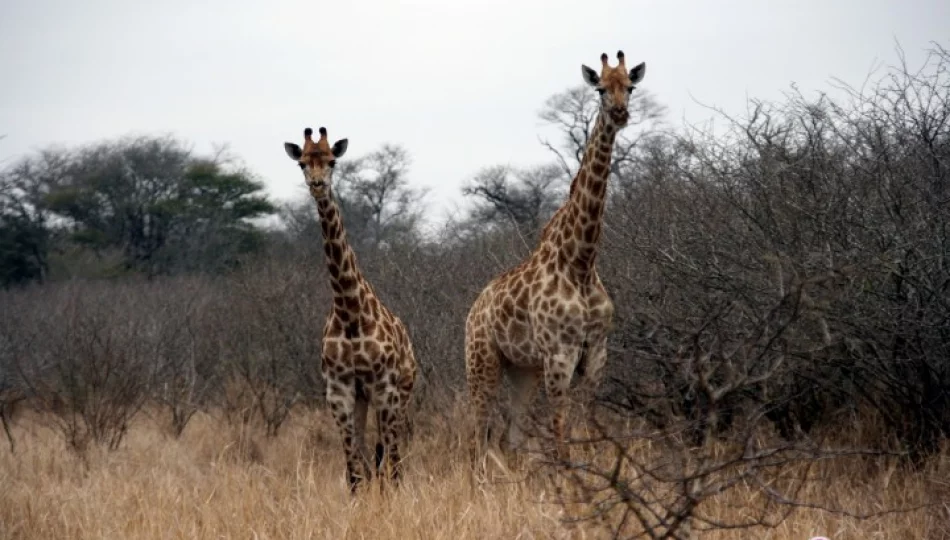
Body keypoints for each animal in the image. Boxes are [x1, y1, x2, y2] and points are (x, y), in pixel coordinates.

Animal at [282, 127, 416, 494]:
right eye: (302, 163)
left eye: (332, 161)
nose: (317, 185)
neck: (350, 311)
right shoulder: (340, 391)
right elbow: (355, 471)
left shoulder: (383, 386)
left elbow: (385, 465)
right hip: (362, 398)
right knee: (372, 460)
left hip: (401, 392)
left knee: (393, 458)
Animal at [466, 52, 648, 462]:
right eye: (600, 89)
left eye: (630, 86)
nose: (620, 113)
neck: (580, 262)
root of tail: (473, 310)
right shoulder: (559, 354)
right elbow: (561, 431)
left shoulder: (595, 353)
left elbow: (586, 424)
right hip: (483, 362)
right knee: (476, 436)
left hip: (523, 369)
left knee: (510, 437)